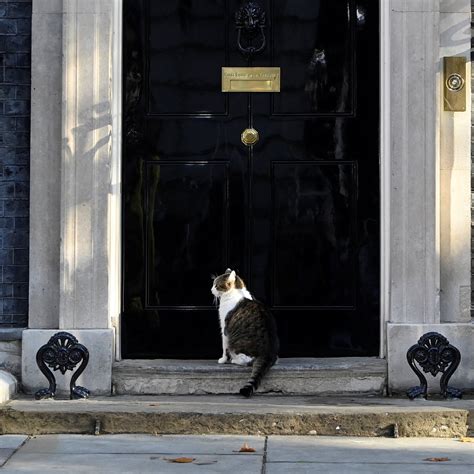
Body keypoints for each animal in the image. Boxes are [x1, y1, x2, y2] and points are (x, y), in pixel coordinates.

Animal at [210, 268, 278, 398]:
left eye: (216, 285)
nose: (211, 290)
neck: (236, 292)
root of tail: (268, 353)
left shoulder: (224, 329)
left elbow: (224, 347)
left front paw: (223, 359)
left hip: (237, 346)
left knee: (245, 360)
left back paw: (234, 360)